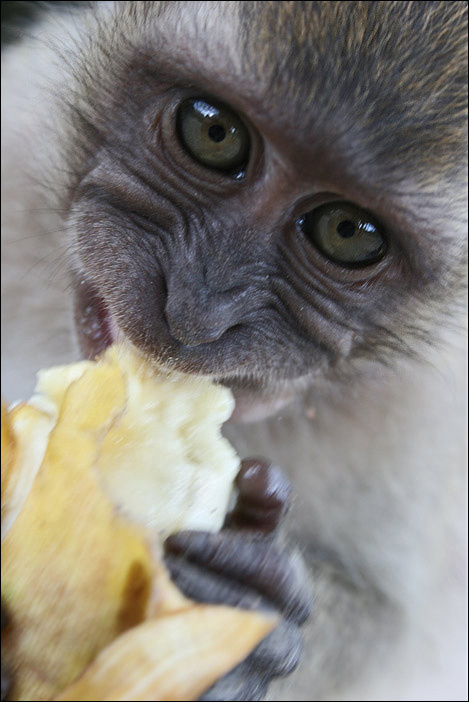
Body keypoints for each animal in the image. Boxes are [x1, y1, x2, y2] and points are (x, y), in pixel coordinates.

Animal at [1, 1, 467, 700]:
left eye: (347, 232)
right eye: (215, 133)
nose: (195, 310)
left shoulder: (430, 409)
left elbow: (385, 620)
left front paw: (243, 614)